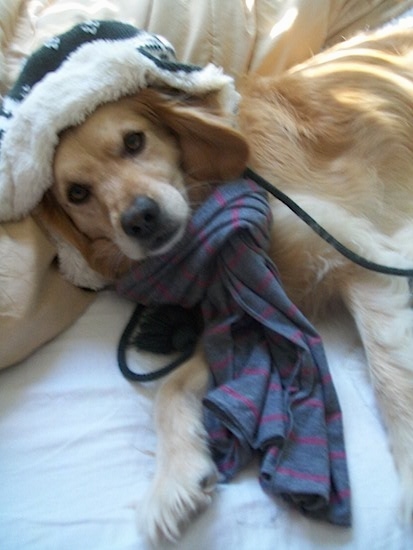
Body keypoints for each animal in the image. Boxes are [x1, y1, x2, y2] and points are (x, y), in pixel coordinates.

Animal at [33, 27, 412, 544]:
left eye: (134, 141)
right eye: (77, 193)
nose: (141, 218)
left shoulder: (361, 259)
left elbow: (395, 386)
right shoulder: (252, 308)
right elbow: (172, 388)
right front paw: (174, 478)